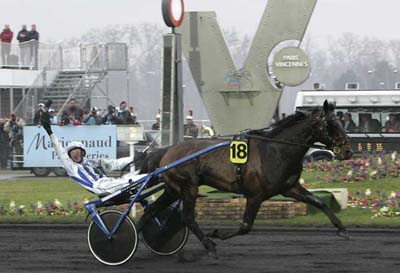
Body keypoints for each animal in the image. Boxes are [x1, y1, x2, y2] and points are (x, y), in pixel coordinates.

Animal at [138, 100, 354, 258]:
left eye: (340, 122)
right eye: (332, 124)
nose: (348, 151)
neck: (276, 150)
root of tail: (167, 151)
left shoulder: (289, 187)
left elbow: (319, 202)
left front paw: (342, 229)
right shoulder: (255, 195)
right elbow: (245, 227)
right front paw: (216, 234)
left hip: (173, 190)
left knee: (150, 211)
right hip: (188, 187)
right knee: (187, 217)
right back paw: (208, 244)